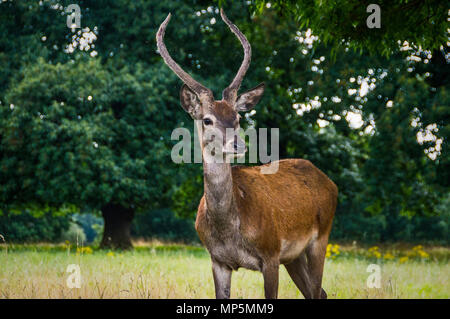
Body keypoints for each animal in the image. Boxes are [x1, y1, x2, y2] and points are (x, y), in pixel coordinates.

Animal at [158, 10, 338, 300]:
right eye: (207, 119)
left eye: (238, 117)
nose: (238, 145)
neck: (229, 231)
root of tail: (330, 182)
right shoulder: (217, 260)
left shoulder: (271, 253)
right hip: (294, 256)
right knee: (318, 292)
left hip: (321, 237)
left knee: (317, 290)